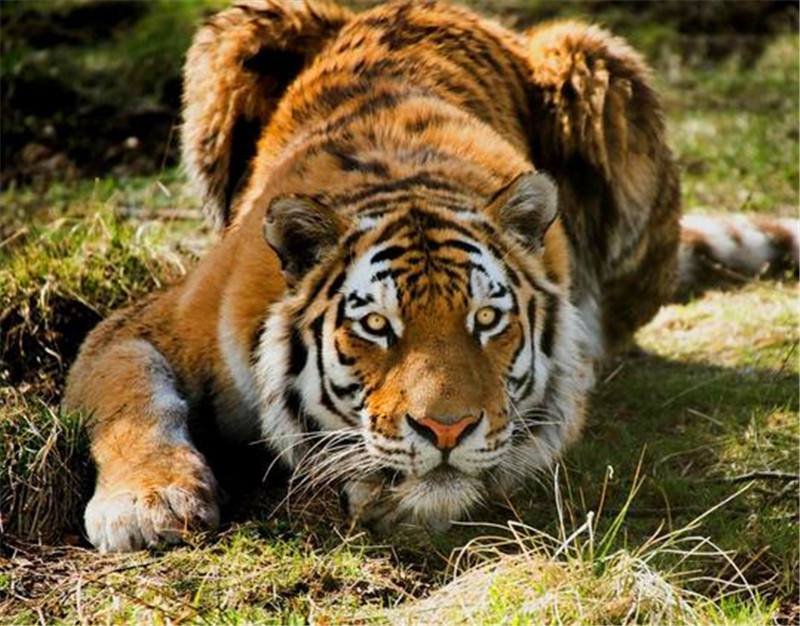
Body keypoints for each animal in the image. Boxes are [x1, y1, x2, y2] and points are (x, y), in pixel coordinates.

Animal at [64, 0, 798, 552]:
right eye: (375, 327)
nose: (446, 431)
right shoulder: (144, 324)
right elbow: (133, 399)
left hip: (596, 62)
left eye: (487, 320)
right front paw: (147, 504)